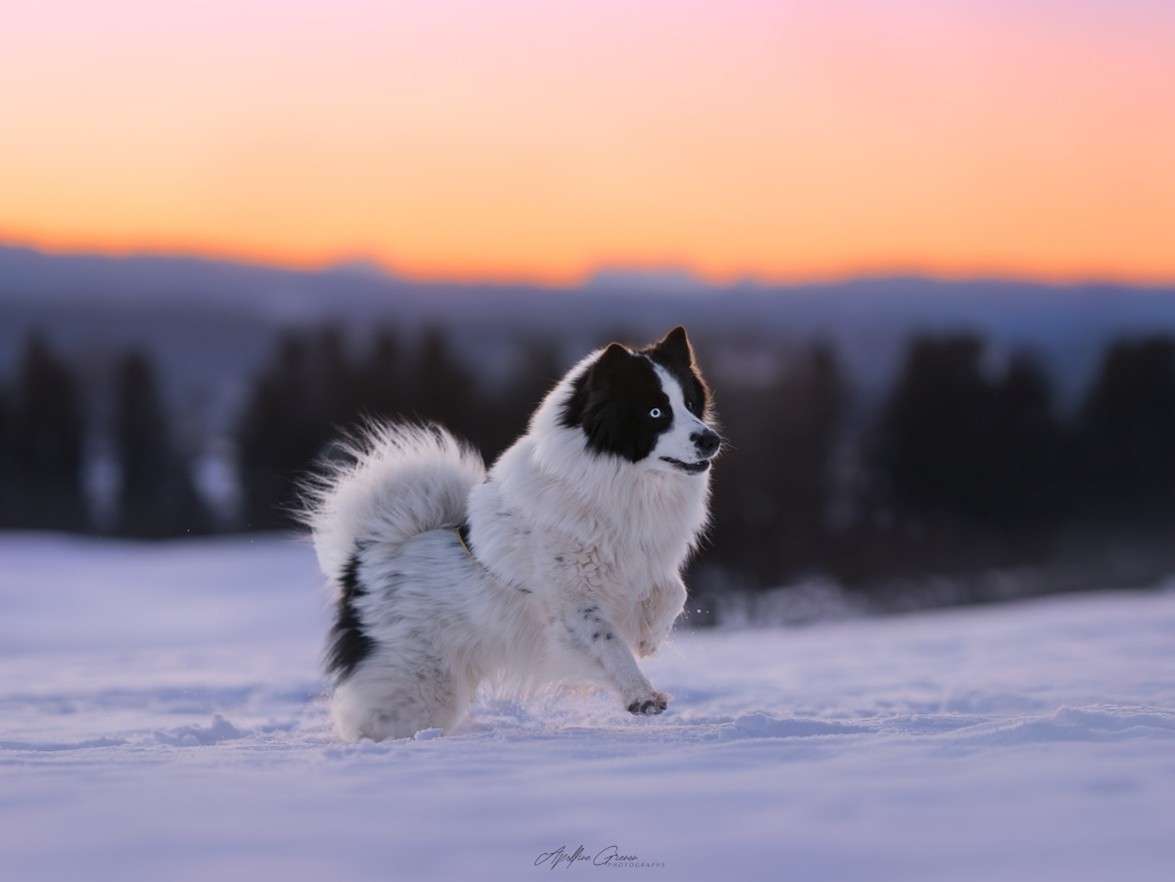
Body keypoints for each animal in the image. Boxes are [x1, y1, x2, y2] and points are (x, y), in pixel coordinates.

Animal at [303, 328, 719, 742]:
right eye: (655, 413)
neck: (615, 483)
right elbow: (610, 643)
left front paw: (650, 639)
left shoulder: (645, 567)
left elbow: (674, 592)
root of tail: (363, 557)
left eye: (691, 405)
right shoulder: (573, 601)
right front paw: (641, 696)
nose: (710, 439)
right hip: (418, 683)